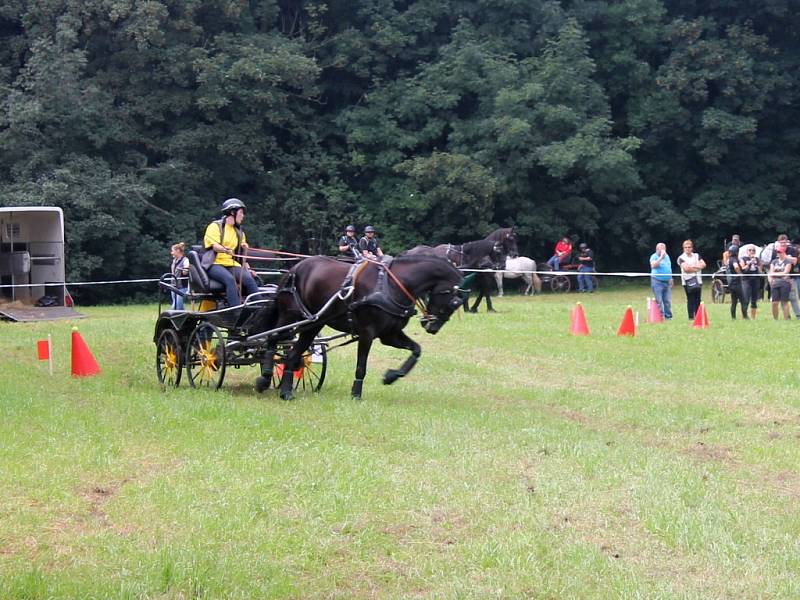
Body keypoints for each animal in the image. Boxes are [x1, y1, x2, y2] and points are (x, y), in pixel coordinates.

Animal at [262, 252, 466, 398]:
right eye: (454, 302)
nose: (432, 327)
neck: (391, 284)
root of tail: (293, 269)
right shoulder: (367, 333)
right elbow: (361, 366)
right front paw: (356, 393)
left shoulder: (390, 334)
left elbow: (416, 349)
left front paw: (391, 376)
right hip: (291, 316)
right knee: (273, 337)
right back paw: (265, 376)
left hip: (313, 324)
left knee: (292, 354)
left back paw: (285, 391)